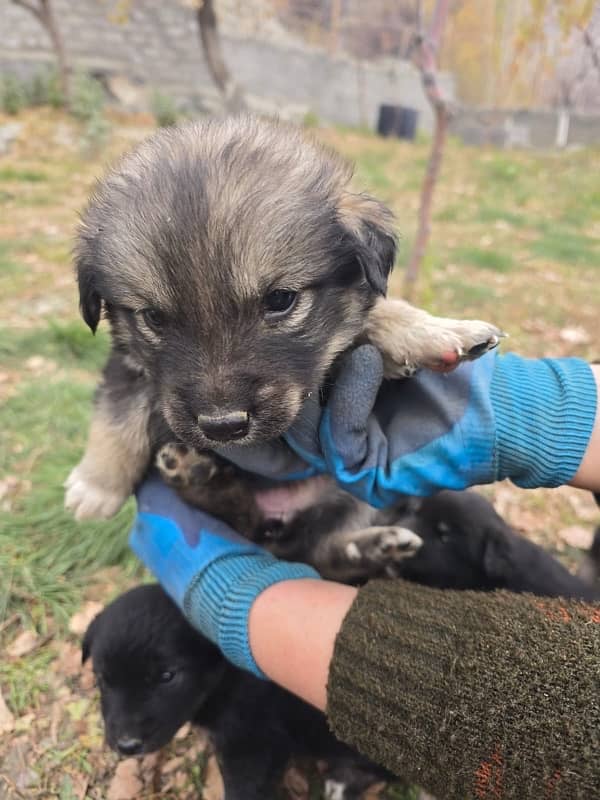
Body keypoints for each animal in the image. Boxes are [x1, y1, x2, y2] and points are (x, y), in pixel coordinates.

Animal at [65, 114, 500, 576]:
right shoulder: (129, 362)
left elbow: (377, 314)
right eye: (152, 317)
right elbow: (117, 414)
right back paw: (194, 474)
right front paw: (95, 485)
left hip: (348, 497)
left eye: (280, 300)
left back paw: (373, 545)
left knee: (322, 552)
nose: (223, 427)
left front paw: (436, 332)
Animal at [83, 580, 394, 800]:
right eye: (103, 679)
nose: (127, 745)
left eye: (167, 676)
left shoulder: (252, 742)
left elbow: (244, 788)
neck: (224, 677)